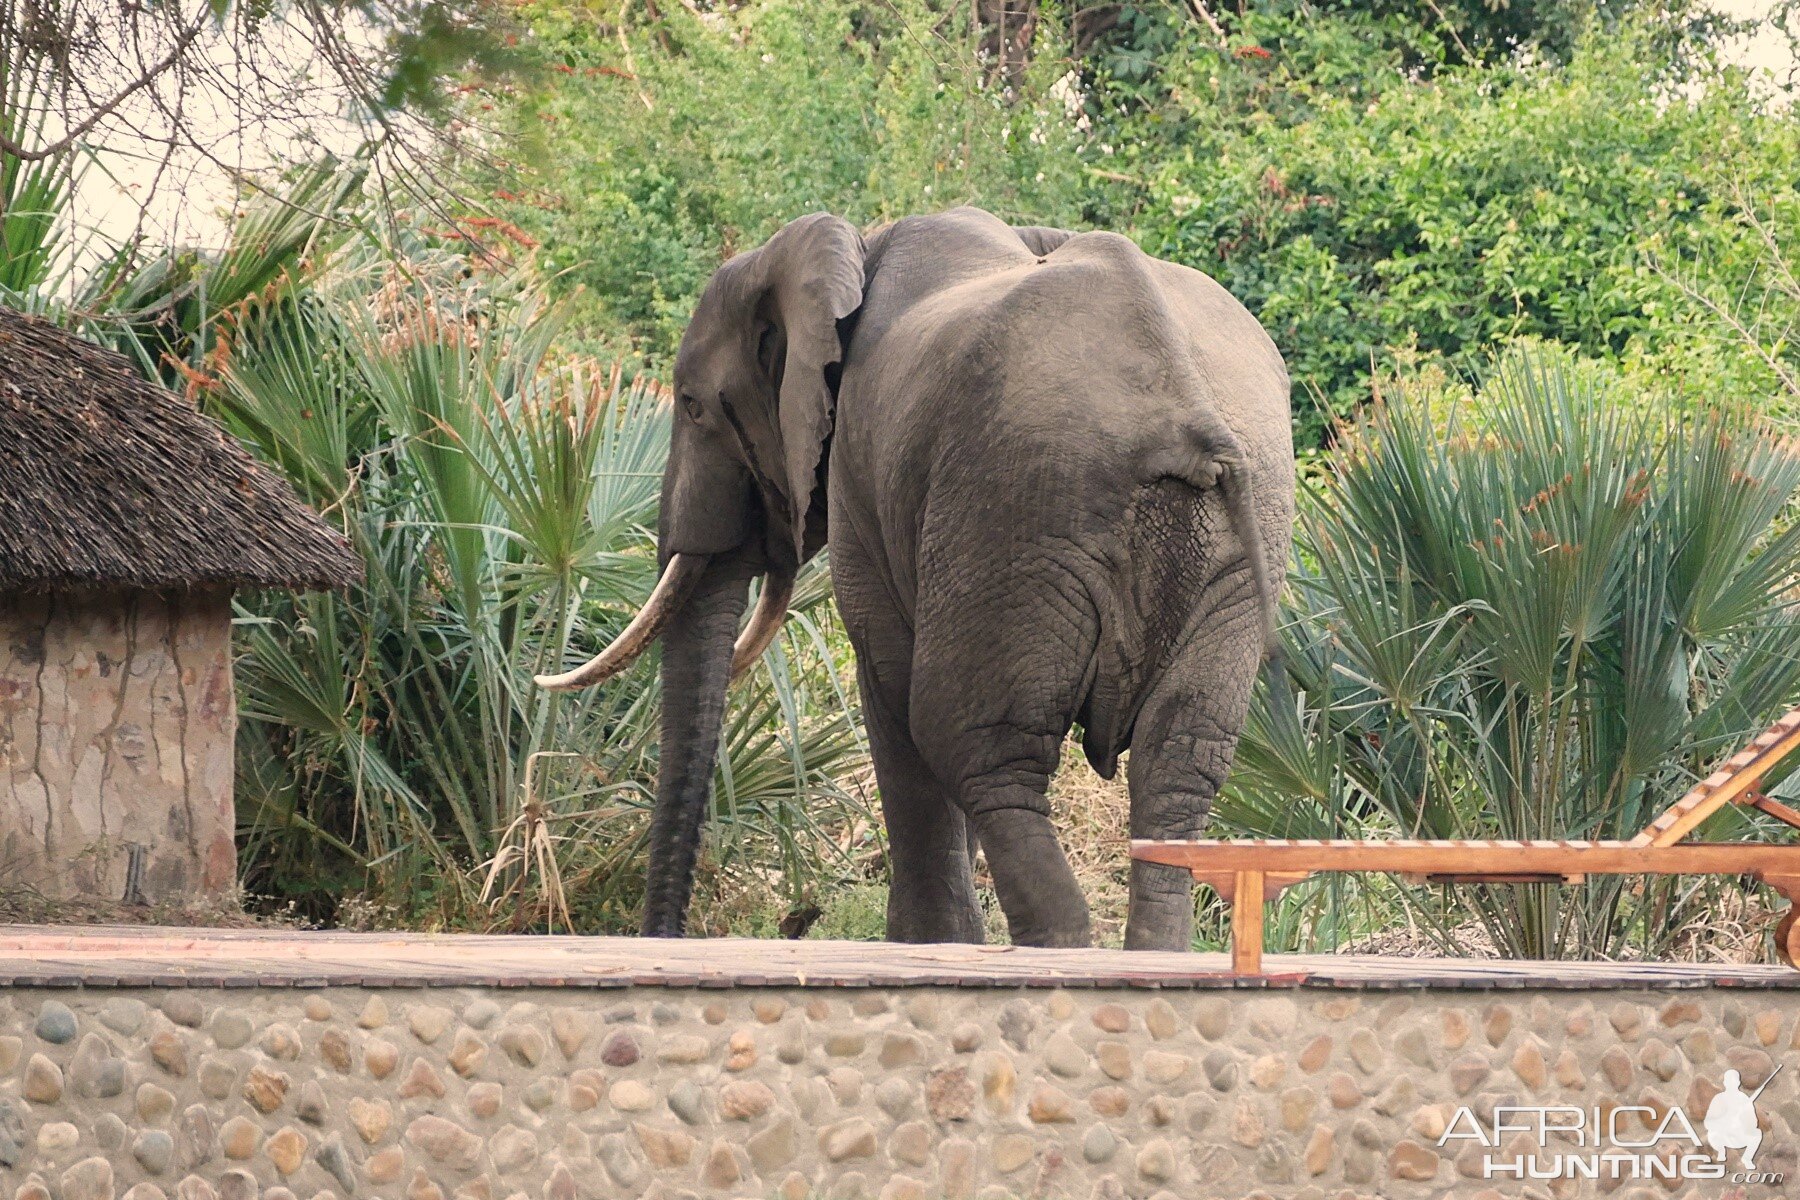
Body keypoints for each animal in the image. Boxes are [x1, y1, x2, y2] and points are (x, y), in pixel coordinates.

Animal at [536, 208, 1296, 957]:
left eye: (693, 406)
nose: (663, 935)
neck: (850, 250)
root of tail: (1184, 410)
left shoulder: (864, 475)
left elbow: (887, 677)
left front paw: (929, 942)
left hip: (1014, 509)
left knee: (973, 739)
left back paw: (1050, 947)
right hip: (1230, 546)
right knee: (1179, 757)